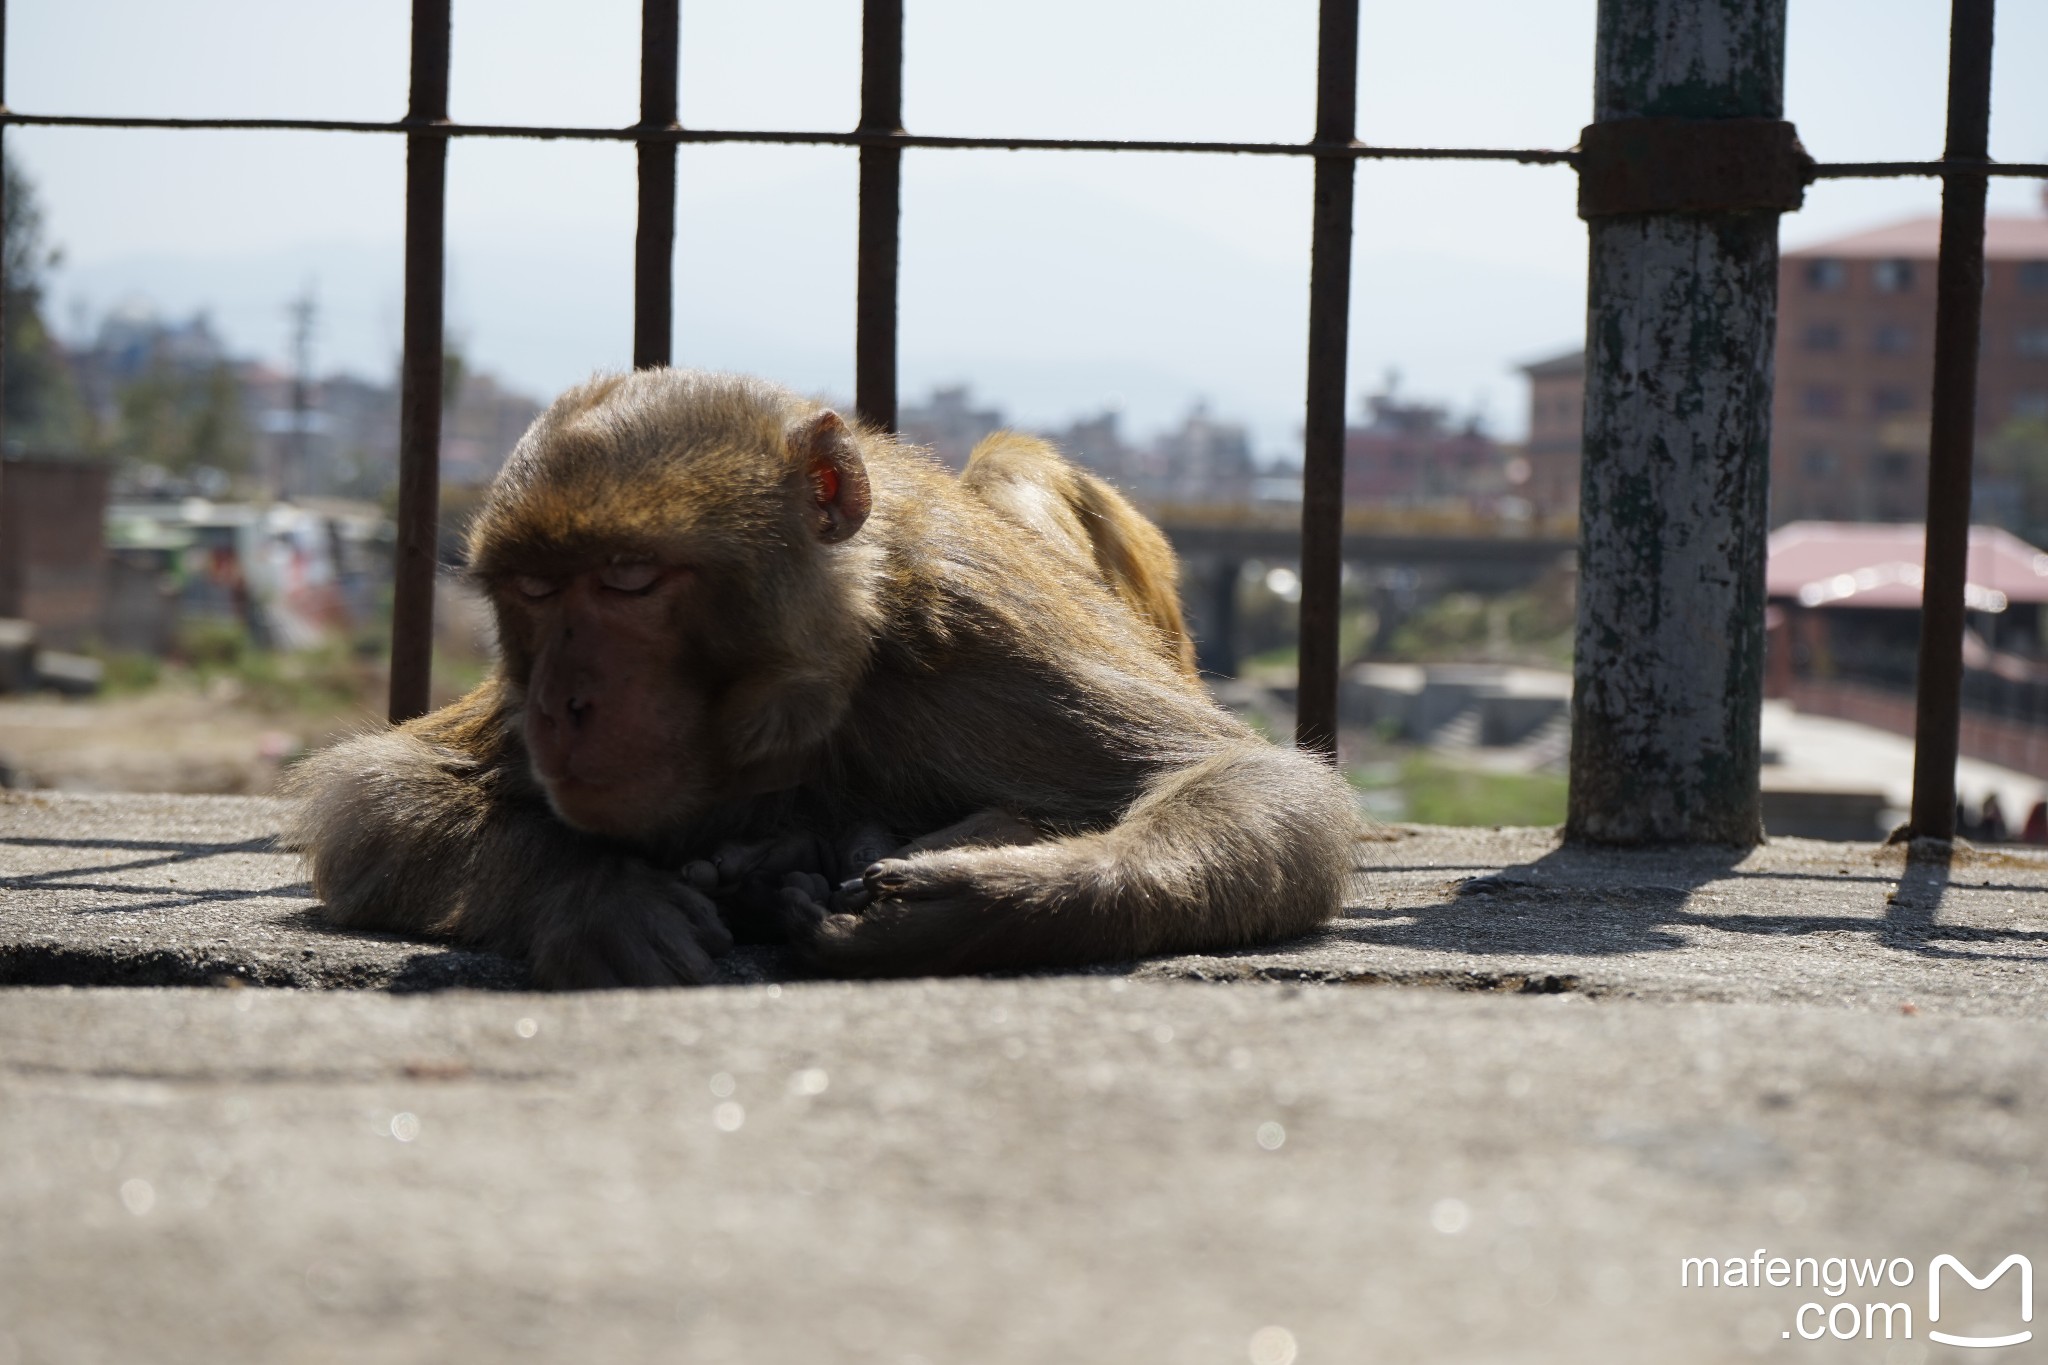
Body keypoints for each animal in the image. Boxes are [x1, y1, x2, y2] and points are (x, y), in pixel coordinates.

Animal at [276, 368, 1359, 986]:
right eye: (536, 590)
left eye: (628, 578)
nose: (559, 705)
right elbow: (374, 795)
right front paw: (597, 899)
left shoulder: (978, 643)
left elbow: (1255, 781)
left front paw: (976, 908)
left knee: (1011, 463)